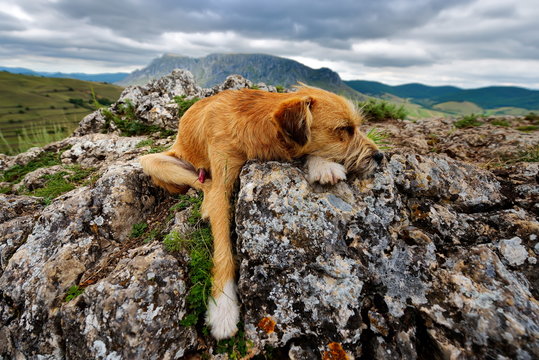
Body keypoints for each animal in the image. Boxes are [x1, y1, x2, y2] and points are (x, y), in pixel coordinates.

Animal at [139, 85, 384, 340]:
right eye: (344, 129)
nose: (380, 156)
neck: (255, 123)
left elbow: (305, 151)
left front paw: (323, 165)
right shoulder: (222, 180)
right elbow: (223, 245)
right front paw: (223, 307)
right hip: (152, 162)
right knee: (204, 186)